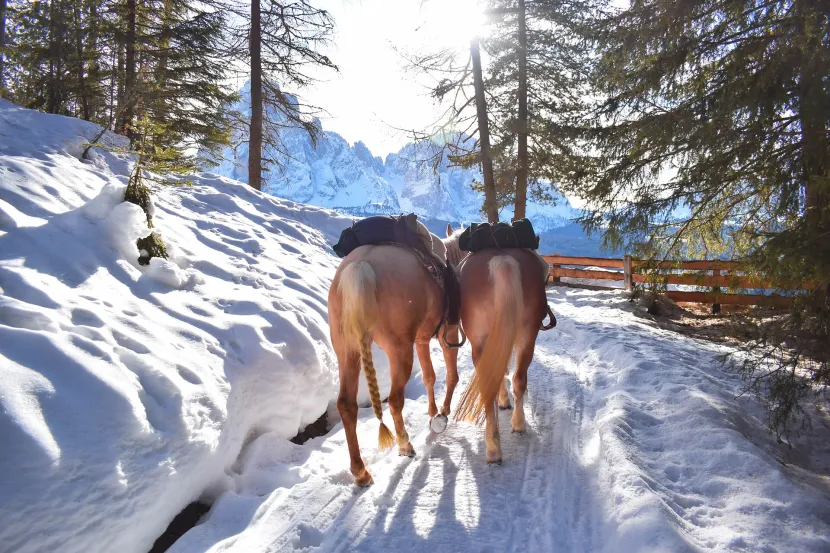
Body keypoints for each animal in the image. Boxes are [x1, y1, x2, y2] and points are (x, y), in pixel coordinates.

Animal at [328, 224, 461, 486]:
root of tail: (361, 266)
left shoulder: (420, 340)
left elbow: (429, 376)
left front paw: (433, 412)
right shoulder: (446, 336)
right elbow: (451, 375)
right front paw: (442, 413)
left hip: (347, 350)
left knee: (347, 405)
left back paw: (360, 472)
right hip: (399, 350)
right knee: (395, 400)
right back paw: (404, 445)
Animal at [443, 224, 551, 464]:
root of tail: (502, 260)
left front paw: (503, 402)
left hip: (481, 343)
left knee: (489, 384)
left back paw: (493, 448)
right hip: (527, 336)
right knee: (519, 378)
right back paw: (517, 426)